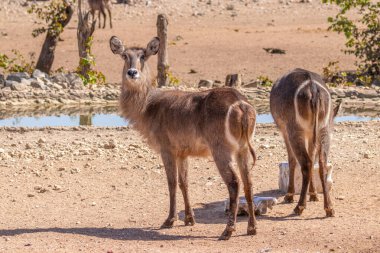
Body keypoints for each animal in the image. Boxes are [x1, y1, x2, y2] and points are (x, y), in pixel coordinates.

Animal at [109, 35, 258, 239]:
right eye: (124, 55)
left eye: (143, 55)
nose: (132, 72)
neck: (147, 108)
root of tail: (242, 105)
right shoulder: (182, 152)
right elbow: (184, 183)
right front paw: (189, 219)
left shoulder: (166, 148)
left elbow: (171, 183)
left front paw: (169, 220)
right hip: (242, 148)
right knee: (248, 181)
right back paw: (252, 228)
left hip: (221, 148)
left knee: (234, 182)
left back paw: (227, 231)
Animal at [270, 69, 342, 217]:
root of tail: (313, 90)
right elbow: (313, 157)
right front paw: (314, 194)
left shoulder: (284, 131)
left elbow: (291, 160)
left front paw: (289, 195)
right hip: (322, 130)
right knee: (321, 163)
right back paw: (329, 208)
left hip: (295, 129)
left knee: (306, 163)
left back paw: (299, 207)